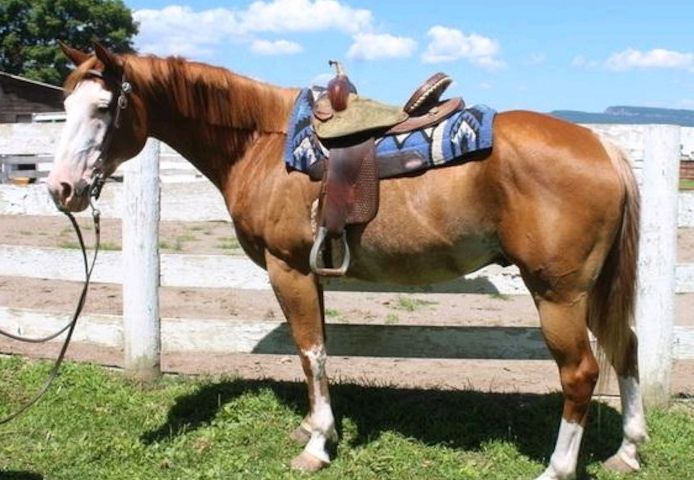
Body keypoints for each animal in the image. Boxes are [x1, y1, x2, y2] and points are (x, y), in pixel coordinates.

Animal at [47, 42, 646, 479]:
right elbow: (315, 351)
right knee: (626, 349)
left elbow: (310, 351)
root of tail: (605, 148)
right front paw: (316, 428)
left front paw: (316, 445)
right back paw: (627, 450)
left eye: (104, 108)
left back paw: (558, 468)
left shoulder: (288, 267)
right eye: (65, 107)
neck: (263, 143)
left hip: (557, 293)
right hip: (592, 290)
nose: (62, 189)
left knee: (581, 372)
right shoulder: (307, 271)